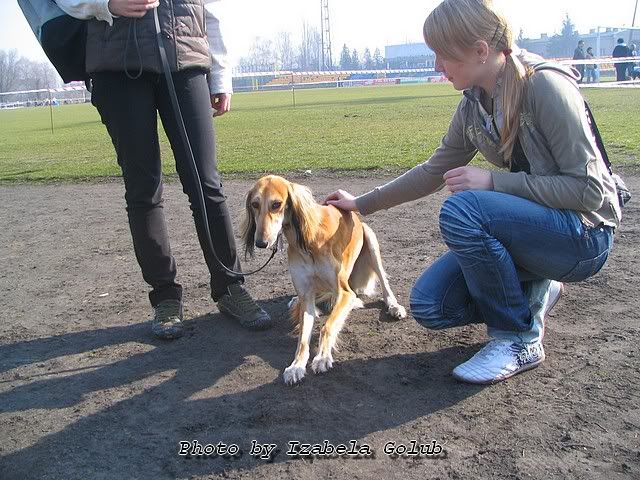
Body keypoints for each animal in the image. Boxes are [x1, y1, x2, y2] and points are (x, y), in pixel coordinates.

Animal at [242, 175, 406, 385]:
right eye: (254, 204)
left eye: (276, 204)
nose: (261, 242)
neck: (306, 241)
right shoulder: (307, 295)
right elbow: (302, 339)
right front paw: (296, 366)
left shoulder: (344, 292)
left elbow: (327, 327)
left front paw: (322, 357)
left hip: (370, 240)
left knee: (383, 285)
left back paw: (394, 306)